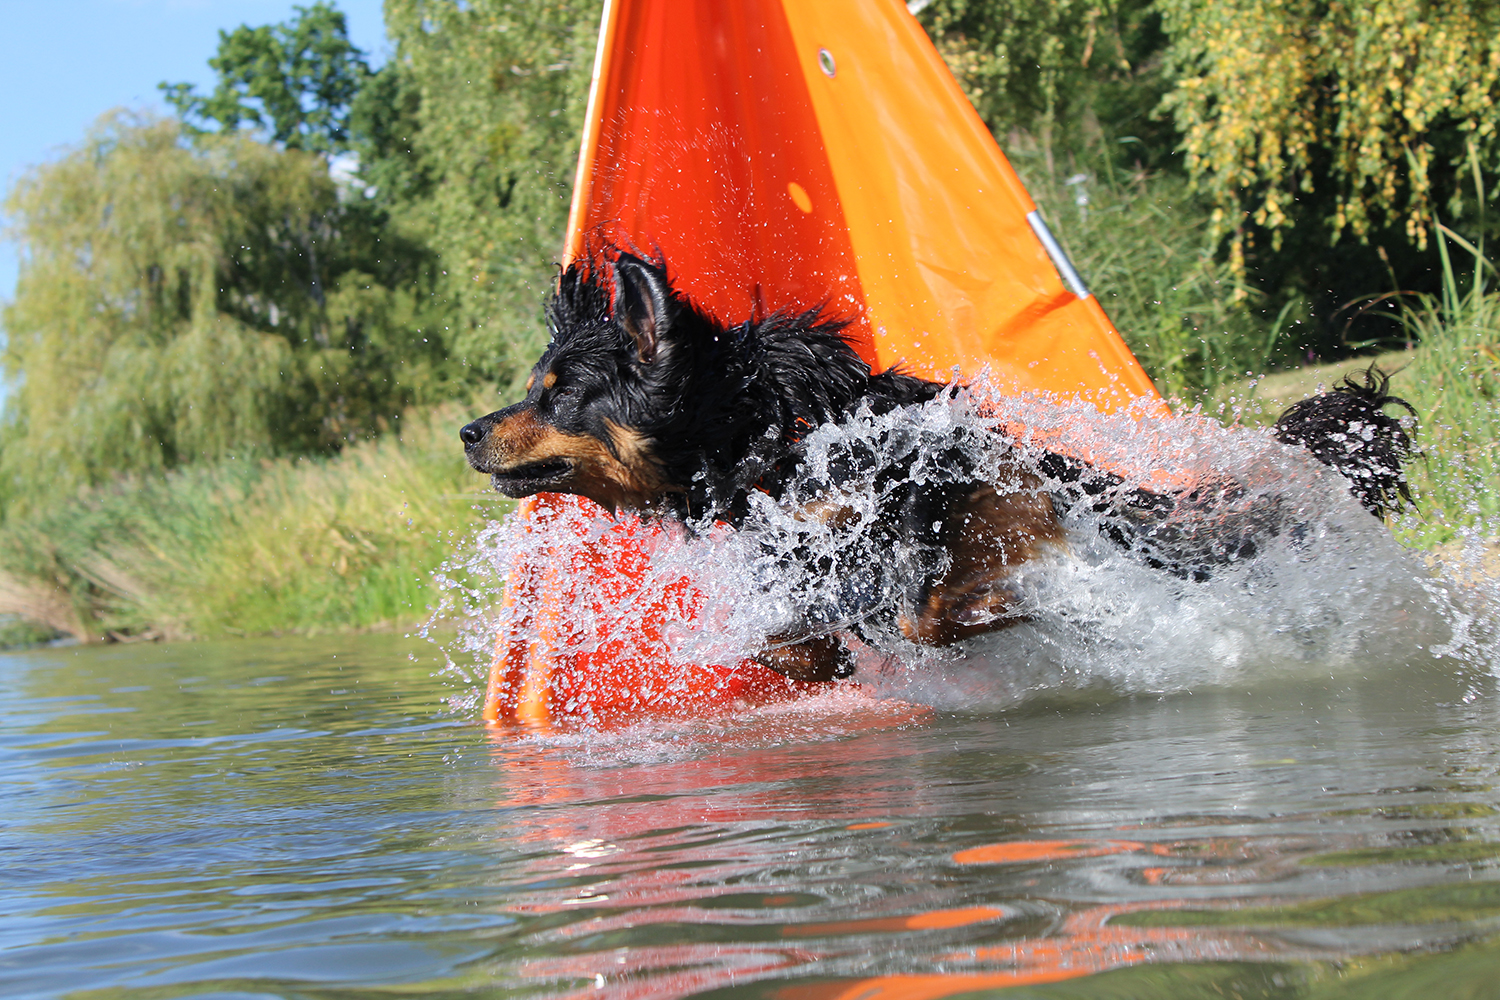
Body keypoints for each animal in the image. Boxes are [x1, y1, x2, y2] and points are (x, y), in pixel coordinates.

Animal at [461, 252, 1415, 681]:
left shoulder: (937, 478)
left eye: (558, 397)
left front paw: (995, 609)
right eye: (534, 388)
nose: (469, 432)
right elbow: (785, 640)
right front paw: (825, 658)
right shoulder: (800, 554)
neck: (759, 441)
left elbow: (921, 604)